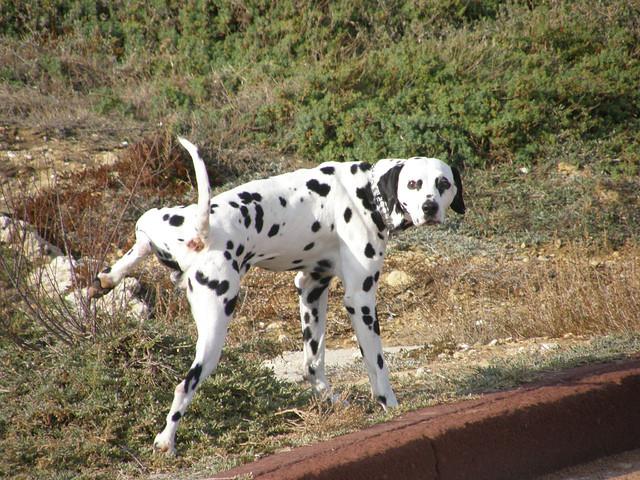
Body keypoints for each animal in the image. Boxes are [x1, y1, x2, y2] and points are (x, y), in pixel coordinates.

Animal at [87, 138, 462, 454]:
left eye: (443, 184)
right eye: (413, 184)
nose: (430, 207)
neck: (365, 193)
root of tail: (197, 233)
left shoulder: (312, 288)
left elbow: (314, 362)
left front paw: (328, 400)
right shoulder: (361, 299)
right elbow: (377, 364)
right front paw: (389, 404)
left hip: (162, 220)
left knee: (141, 233)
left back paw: (106, 278)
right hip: (213, 333)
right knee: (184, 387)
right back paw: (166, 440)